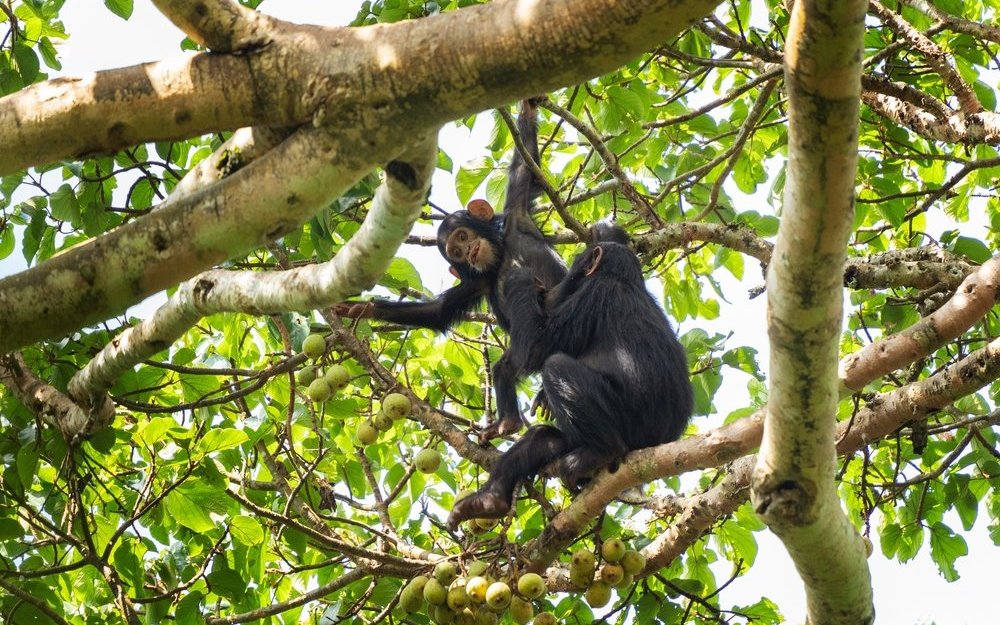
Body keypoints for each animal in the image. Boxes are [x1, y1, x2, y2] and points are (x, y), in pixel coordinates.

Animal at [336, 100, 572, 438]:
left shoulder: (516, 214)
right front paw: (364, 309)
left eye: (462, 236)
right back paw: (509, 422)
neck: (500, 258)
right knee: (505, 367)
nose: (471, 251)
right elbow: (438, 311)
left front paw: (527, 108)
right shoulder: (477, 283)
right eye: (457, 253)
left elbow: (524, 165)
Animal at [448, 227, 692, 528]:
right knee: (543, 439)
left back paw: (602, 451)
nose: (558, 284)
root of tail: (663, 441)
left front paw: (520, 277)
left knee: (557, 367)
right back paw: (489, 500)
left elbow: (538, 347)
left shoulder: (593, 295)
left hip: (634, 425)